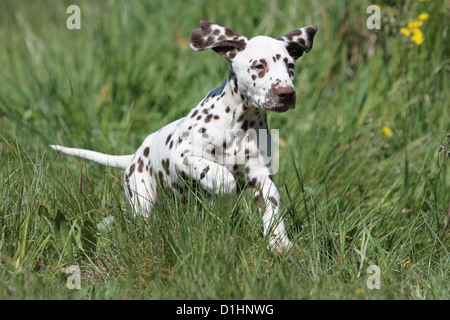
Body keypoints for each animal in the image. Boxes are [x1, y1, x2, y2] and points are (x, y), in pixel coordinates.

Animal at [51, 20, 318, 255]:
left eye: (290, 66)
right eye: (259, 66)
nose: (286, 93)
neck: (239, 125)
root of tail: (134, 156)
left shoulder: (262, 177)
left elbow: (272, 209)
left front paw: (280, 243)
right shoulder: (184, 157)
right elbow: (224, 178)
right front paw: (223, 198)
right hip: (143, 198)